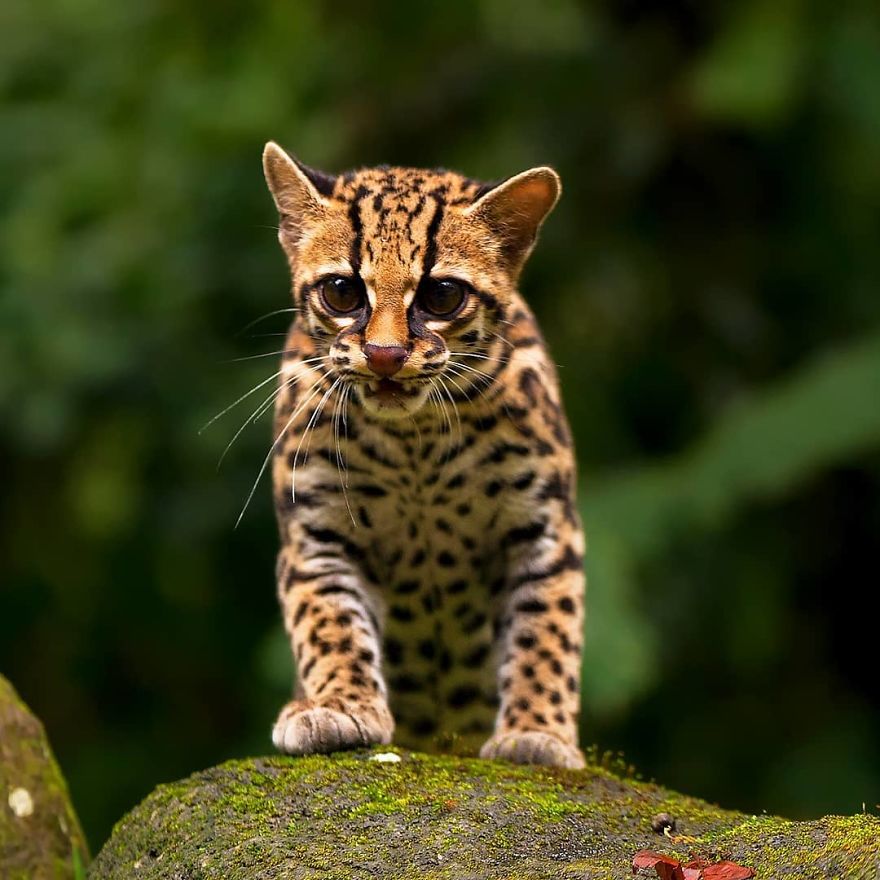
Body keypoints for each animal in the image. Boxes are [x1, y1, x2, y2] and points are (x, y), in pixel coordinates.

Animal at [264, 141, 588, 768]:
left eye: (441, 295)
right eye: (342, 291)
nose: (385, 355)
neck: (416, 442)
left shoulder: (545, 526)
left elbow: (545, 630)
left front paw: (537, 731)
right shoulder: (317, 528)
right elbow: (329, 621)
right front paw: (337, 705)